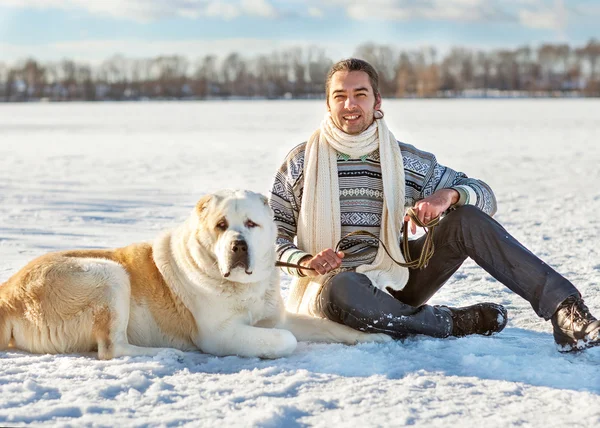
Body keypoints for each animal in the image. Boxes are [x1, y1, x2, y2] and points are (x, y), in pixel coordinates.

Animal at [0, 189, 390, 360]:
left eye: (251, 224)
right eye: (221, 226)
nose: (238, 246)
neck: (241, 285)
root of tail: (6, 297)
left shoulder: (275, 317)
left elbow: (331, 327)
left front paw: (373, 337)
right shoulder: (220, 335)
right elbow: (286, 340)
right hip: (108, 274)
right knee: (112, 348)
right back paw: (161, 354)